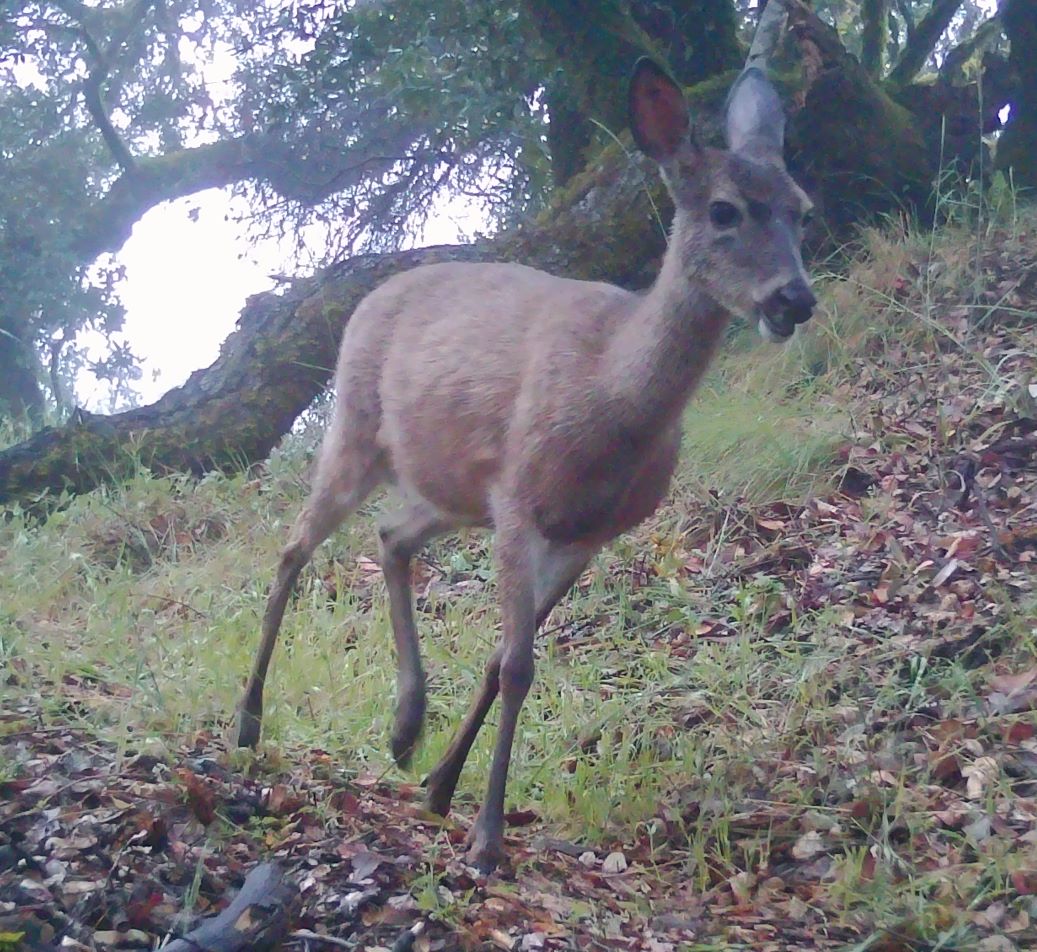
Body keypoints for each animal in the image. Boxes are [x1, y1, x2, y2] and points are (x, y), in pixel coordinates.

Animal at [235, 58, 816, 873]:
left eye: (801, 210)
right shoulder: (518, 499)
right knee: (294, 546)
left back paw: (405, 727)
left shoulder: (587, 532)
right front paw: (485, 838)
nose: (794, 299)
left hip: (450, 489)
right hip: (356, 427)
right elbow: (516, 665)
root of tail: (370, 295)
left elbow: (498, 657)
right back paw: (249, 720)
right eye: (725, 210)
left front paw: (443, 787)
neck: (611, 400)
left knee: (390, 537)